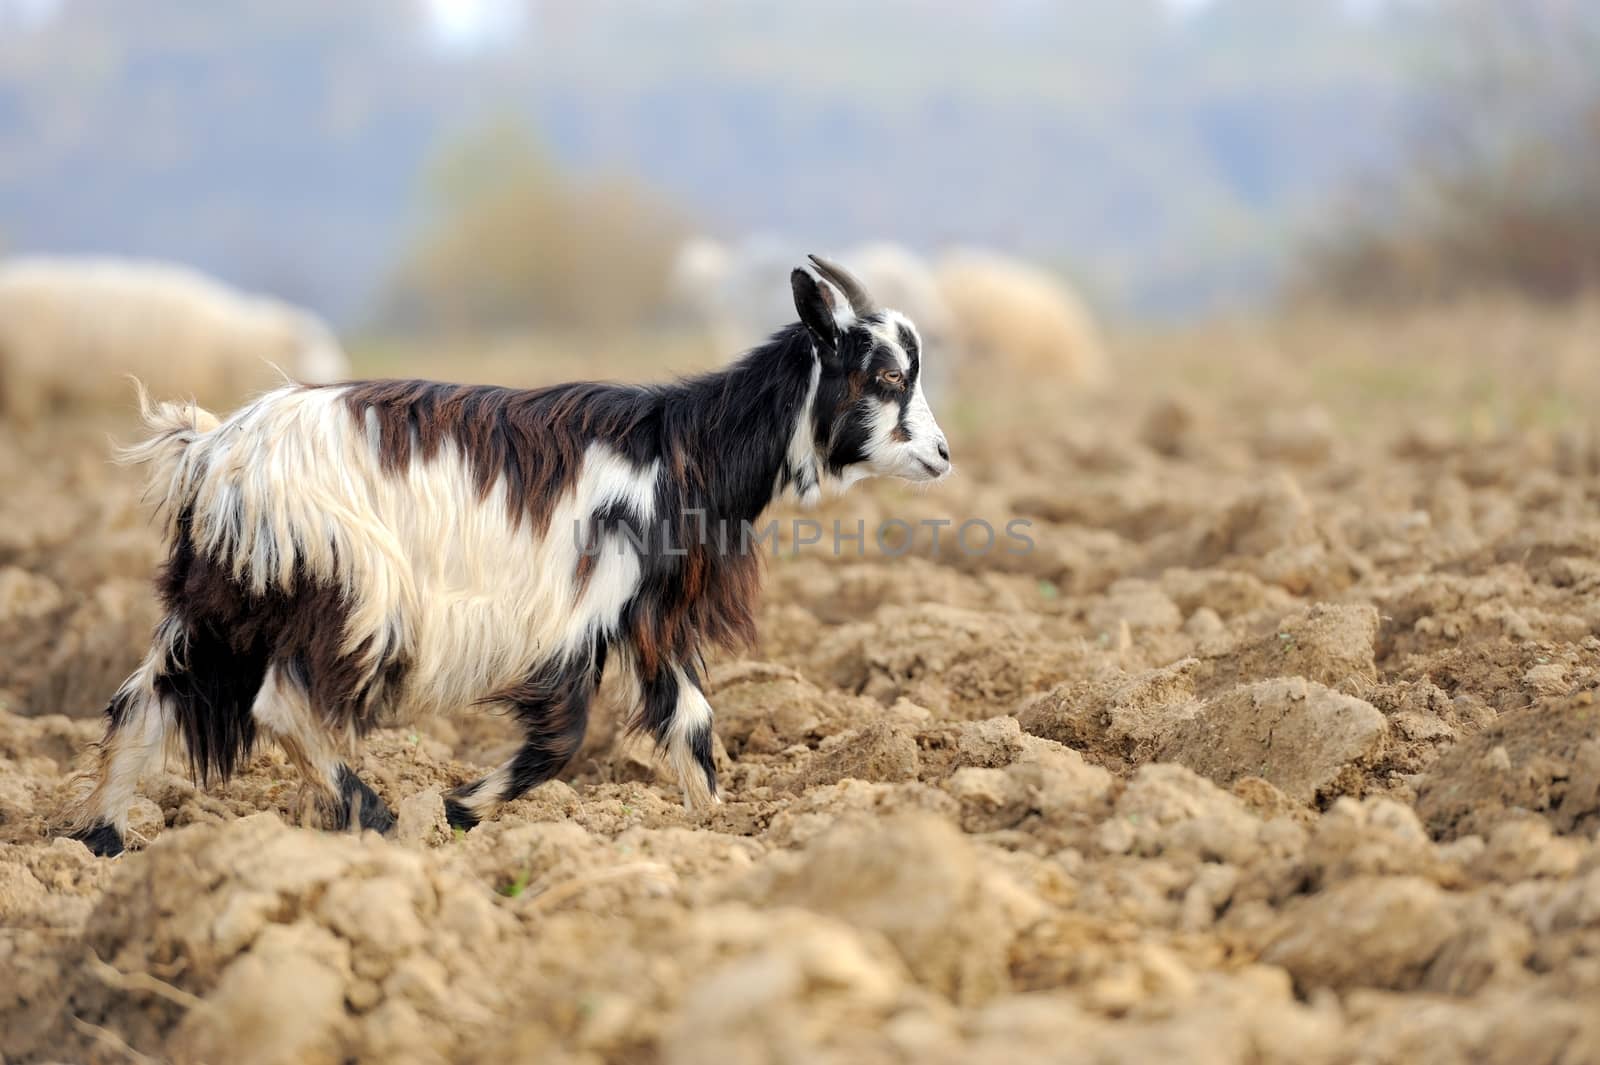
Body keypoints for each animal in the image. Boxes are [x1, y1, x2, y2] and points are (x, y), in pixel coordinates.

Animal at [65, 251, 947, 857]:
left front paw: (722, 833)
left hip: (222, 599)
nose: (942, 456)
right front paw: (458, 809)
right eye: (886, 374)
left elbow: (690, 719)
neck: (684, 448)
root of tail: (211, 450)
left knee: (145, 699)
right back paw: (375, 814)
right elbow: (562, 740)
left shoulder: (648, 614)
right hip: (347, 590)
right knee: (284, 702)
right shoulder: (577, 611)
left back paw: (103, 839)